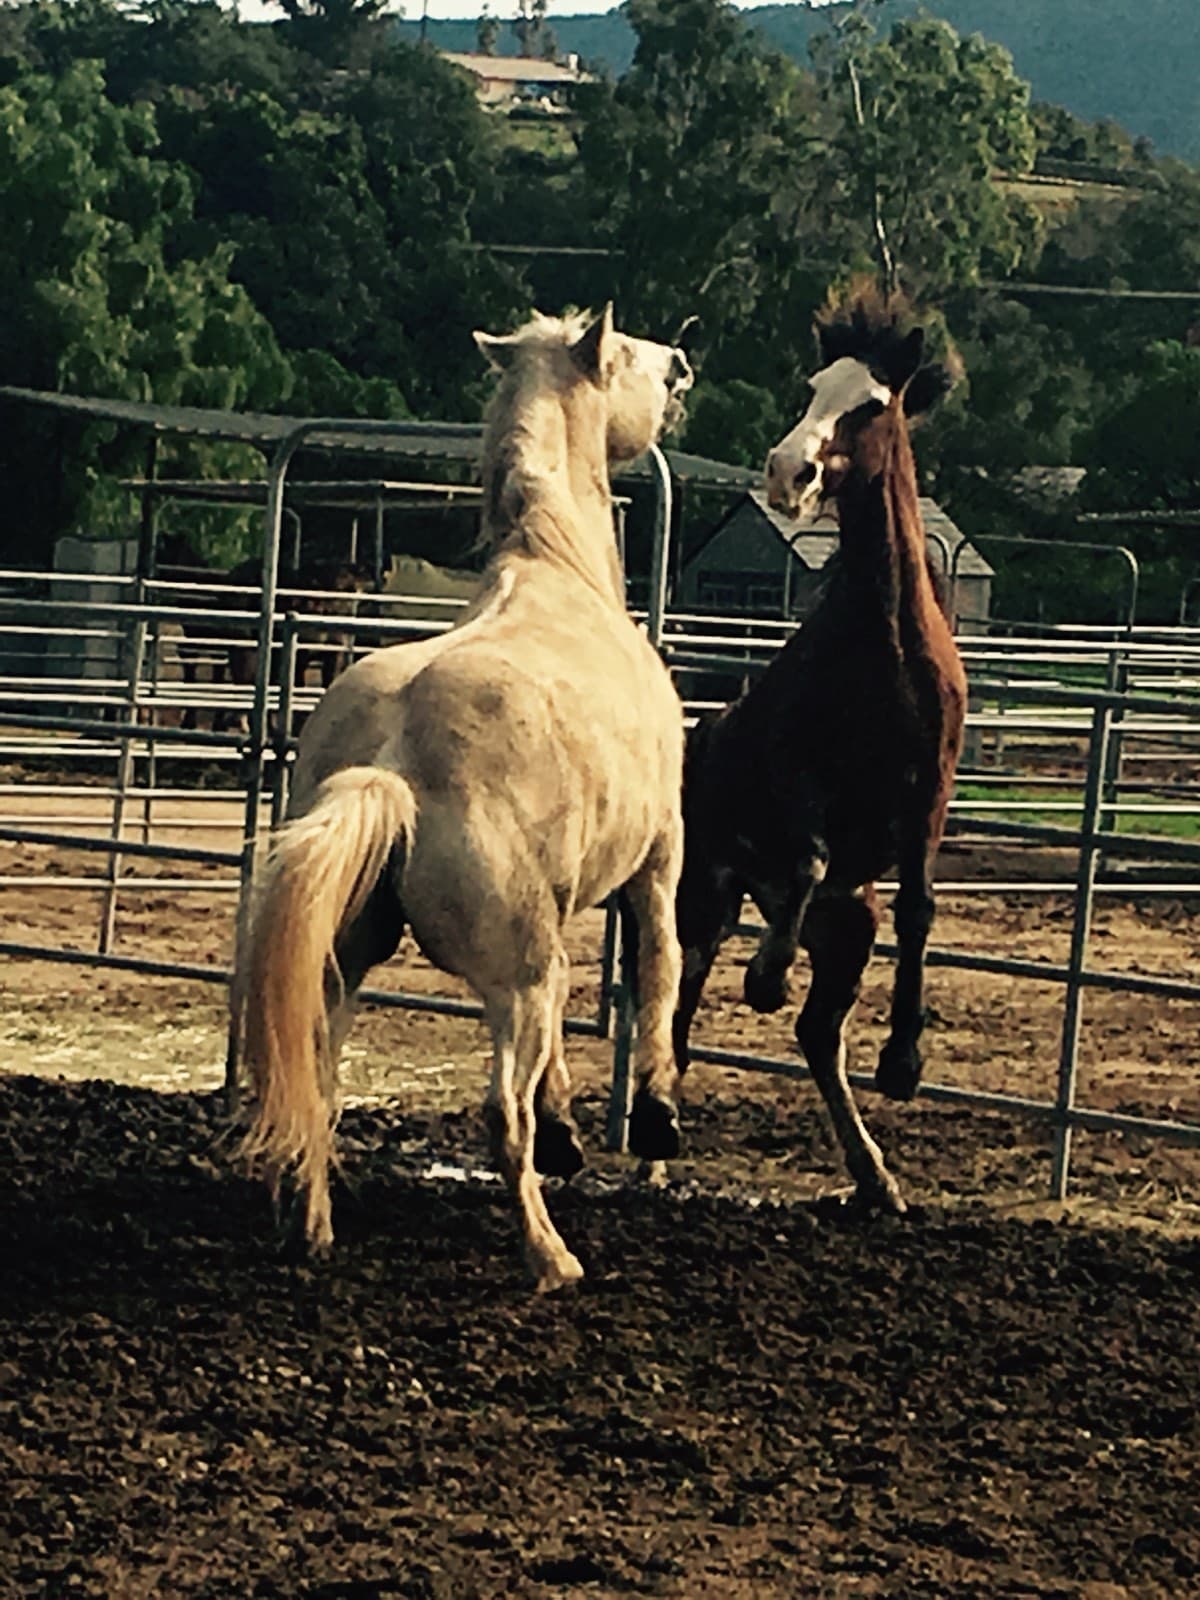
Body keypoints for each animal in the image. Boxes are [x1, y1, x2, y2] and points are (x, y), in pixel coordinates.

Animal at [235, 306, 694, 1292]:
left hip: (351, 961)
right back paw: (550, 1255)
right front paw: (656, 1117)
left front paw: (570, 1129)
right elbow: (660, 973)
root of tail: (395, 764)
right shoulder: (658, 860)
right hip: (516, 975)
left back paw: (313, 1228)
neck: (561, 568)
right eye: (626, 354)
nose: (680, 365)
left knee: (321, 1078)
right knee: (498, 1115)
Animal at [628, 286, 967, 1213]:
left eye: (872, 404)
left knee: (819, 1032)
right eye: (812, 387)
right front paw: (768, 973)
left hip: (849, 928)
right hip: (701, 899)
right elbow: (808, 855)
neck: (886, 647)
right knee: (679, 1008)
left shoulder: (927, 799)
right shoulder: (797, 779)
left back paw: (876, 1176)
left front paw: (905, 1062)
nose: (789, 472)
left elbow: (920, 909)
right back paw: (653, 1150)